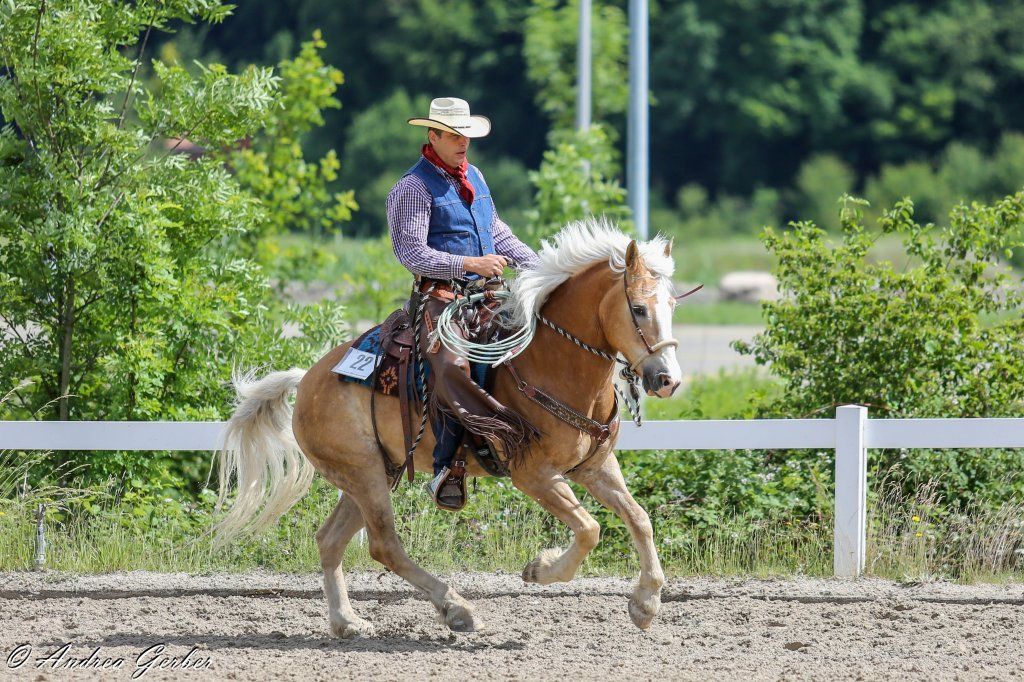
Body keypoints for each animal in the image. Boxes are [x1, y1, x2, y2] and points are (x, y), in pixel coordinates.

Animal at [213, 220, 684, 638]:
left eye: (673, 306)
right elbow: (590, 529)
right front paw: (540, 569)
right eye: (638, 308)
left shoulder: (594, 466)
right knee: (384, 545)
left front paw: (645, 604)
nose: (668, 380)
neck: (550, 361)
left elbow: (639, 519)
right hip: (365, 475)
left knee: (330, 540)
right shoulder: (533, 474)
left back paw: (347, 622)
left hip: (371, 473)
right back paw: (457, 609)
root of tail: (307, 379)